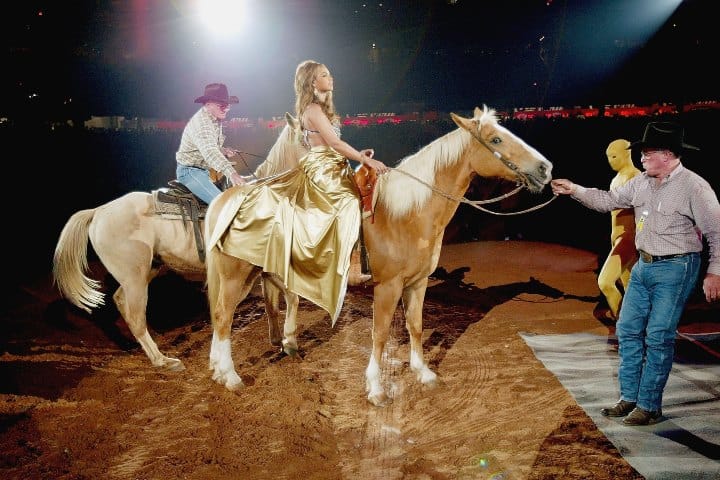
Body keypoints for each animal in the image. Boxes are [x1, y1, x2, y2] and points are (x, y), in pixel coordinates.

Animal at [52, 113, 306, 372]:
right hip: (135, 277)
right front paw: (288, 342)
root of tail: (99, 211)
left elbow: (280, 299)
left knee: (121, 301)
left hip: (148, 269)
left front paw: (282, 340)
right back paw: (163, 361)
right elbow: (288, 296)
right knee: (135, 315)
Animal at [205, 107, 556, 404]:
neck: (405, 213)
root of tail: (228, 197)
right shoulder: (388, 286)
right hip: (236, 276)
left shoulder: (417, 282)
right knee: (223, 317)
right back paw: (231, 376)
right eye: (495, 139)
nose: (545, 168)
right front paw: (376, 388)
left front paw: (423, 372)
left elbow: (415, 325)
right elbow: (381, 333)